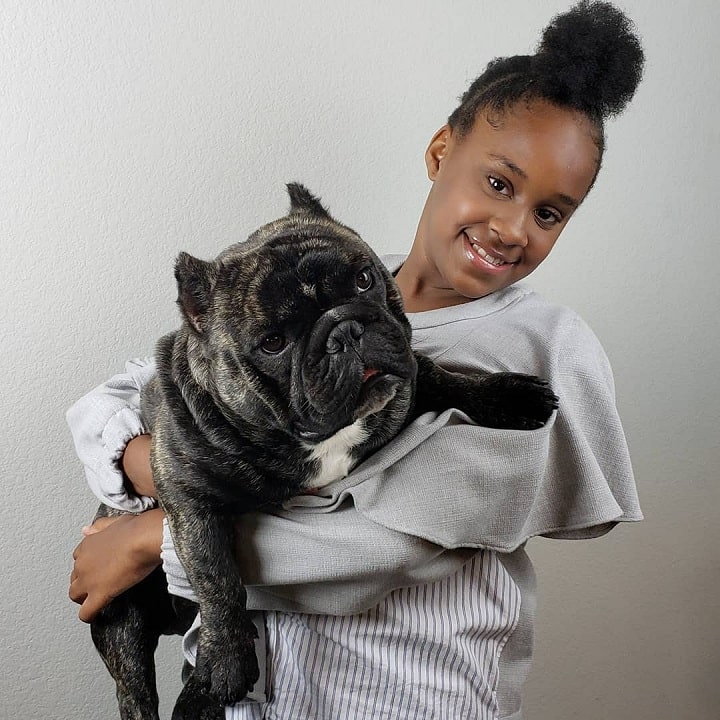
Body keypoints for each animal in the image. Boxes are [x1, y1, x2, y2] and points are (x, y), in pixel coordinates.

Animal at [88, 183, 556, 716]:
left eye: (364, 278)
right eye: (272, 343)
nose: (345, 329)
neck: (316, 436)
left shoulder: (412, 377)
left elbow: (448, 378)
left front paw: (509, 396)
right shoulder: (189, 496)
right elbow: (215, 573)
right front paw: (227, 660)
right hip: (122, 623)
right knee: (136, 688)